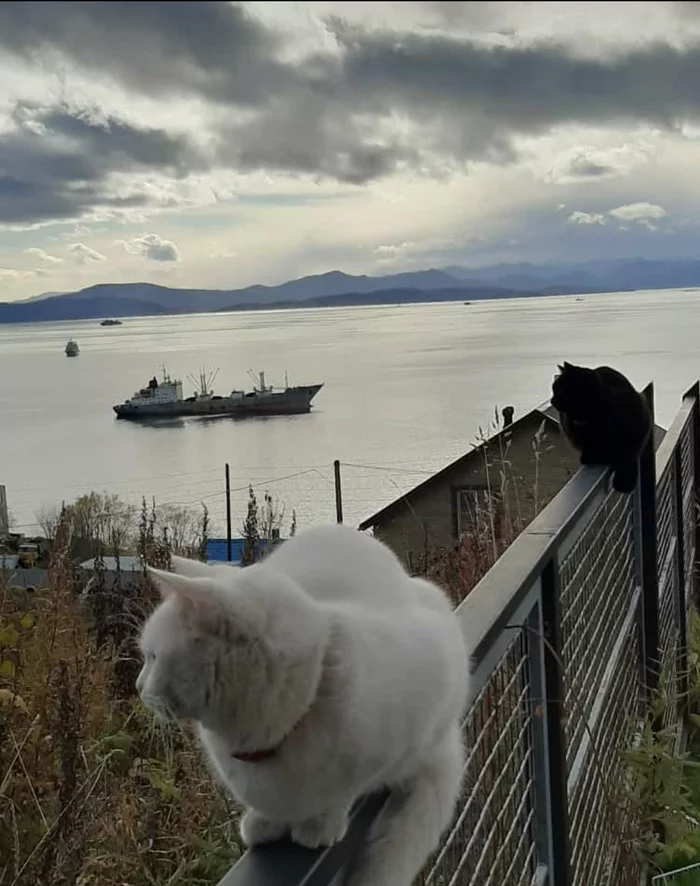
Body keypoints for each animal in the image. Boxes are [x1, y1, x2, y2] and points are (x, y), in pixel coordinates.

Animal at [548, 364, 652, 496]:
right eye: (553, 388)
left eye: (559, 390)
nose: (551, 401)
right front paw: (591, 456)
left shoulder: (638, 426)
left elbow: (629, 454)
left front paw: (625, 480)